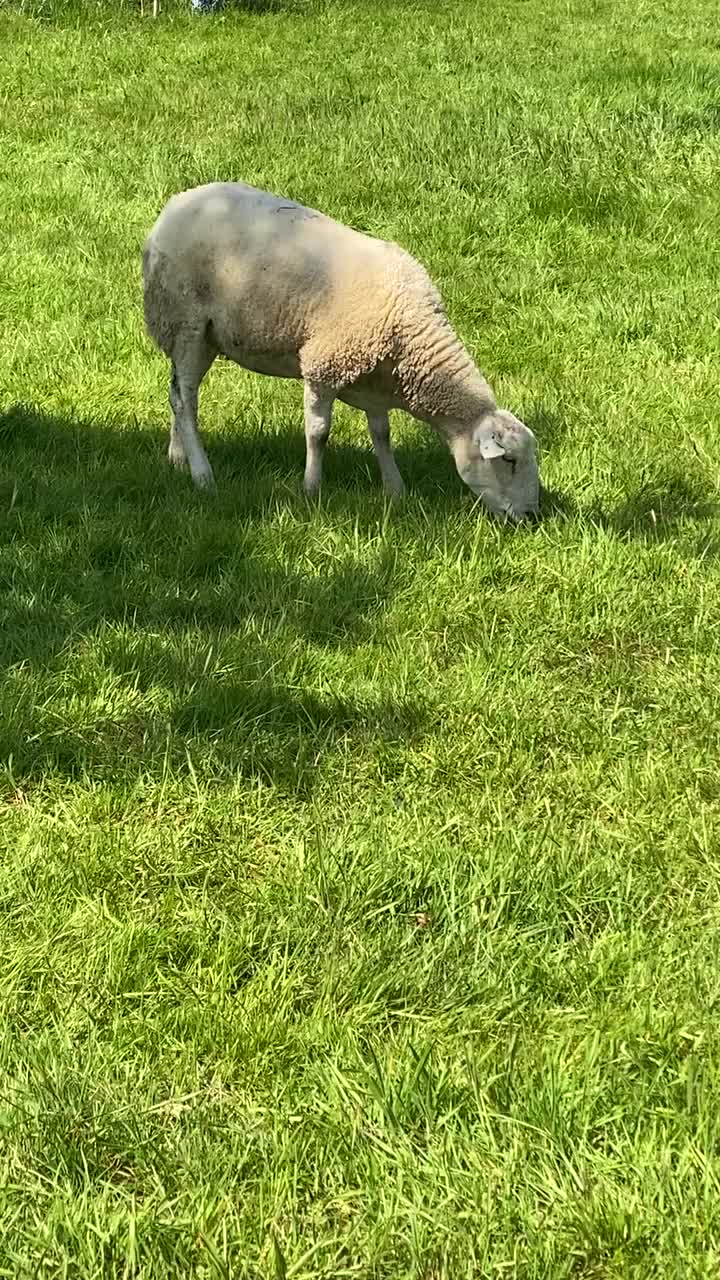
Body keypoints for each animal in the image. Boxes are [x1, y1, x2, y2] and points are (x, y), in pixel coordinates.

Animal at [142, 180, 538, 519]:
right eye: (509, 461)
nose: (533, 516)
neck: (412, 331)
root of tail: (173, 207)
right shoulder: (323, 366)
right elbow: (318, 433)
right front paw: (311, 488)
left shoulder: (375, 377)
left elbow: (381, 434)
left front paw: (395, 489)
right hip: (185, 318)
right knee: (184, 398)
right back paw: (202, 474)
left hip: (207, 333)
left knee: (182, 394)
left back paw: (177, 458)